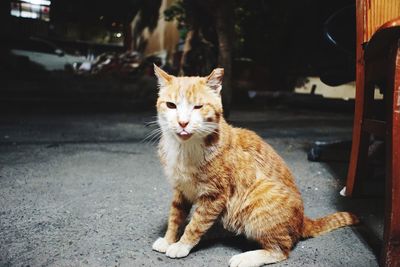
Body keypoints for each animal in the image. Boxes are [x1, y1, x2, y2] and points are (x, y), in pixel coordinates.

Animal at [152, 65, 358, 267]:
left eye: (198, 107)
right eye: (171, 105)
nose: (183, 123)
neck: (184, 150)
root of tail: (302, 221)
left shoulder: (214, 196)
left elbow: (195, 224)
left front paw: (182, 245)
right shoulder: (181, 190)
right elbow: (175, 216)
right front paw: (169, 239)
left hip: (260, 199)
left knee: (282, 249)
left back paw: (247, 257)